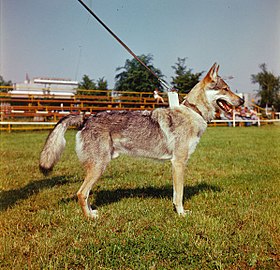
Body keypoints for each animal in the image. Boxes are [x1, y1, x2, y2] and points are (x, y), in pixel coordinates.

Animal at [38, 63, 243, 219]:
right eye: (225, 89)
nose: (241, 100)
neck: (193, 112)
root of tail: (87, 118)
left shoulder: (176, 164)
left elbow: (175, 194)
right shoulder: (178, 163)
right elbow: (180, 195)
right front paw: (181, 214)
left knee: (86, 195)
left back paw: (92, 212)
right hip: (99, 166)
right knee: (81, 193)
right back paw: (90, 218)